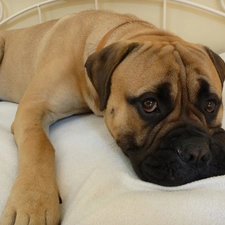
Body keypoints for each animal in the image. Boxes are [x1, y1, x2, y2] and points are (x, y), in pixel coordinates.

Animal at [0, 10, 225, 225]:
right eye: (149, 104)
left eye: (210, 104)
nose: (197, 152)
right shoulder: (33, 108)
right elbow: (39, 145)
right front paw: (33, 202)